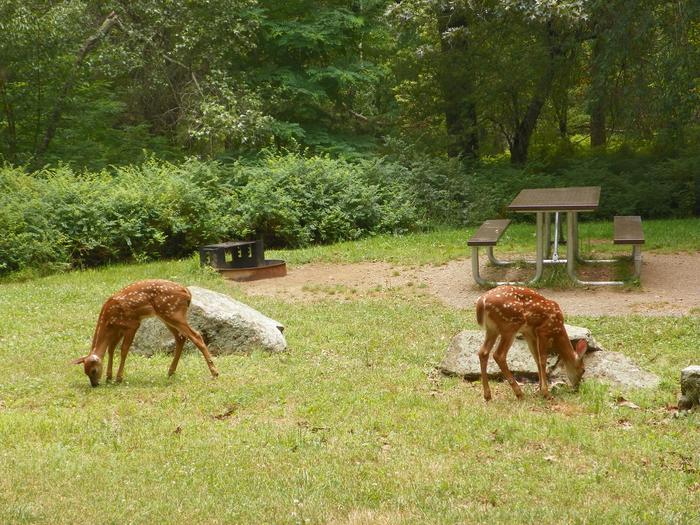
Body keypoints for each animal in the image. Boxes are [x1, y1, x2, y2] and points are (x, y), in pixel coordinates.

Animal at [72, 278, 219, 384]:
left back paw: (215, 373)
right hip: (166, 316)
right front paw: (109, 377)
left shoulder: (132, 324)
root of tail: (187, 293)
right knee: (180, 338)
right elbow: (111, 349)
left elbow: (124, 350)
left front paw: (118, 378)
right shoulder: (118, 330)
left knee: (196, 335)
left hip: (173, 313)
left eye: (93, 371)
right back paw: (170, 372)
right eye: (85, 372)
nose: (94, 384)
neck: (108, 321)